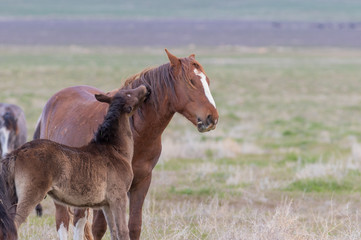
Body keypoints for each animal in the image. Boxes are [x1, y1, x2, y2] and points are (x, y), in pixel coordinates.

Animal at [0, 85, 148, 239]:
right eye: (130, 94)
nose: (144, 88)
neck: (114, 149)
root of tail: (16, 153)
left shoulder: (107, 204)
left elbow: (113, 231)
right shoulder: (119, 197)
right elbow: (123, 231)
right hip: (30, 195)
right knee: (14, 225)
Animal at [34, 48, 219, 238]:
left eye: (207, 80)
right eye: (191, 82)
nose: (212, 118)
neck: (134, 136)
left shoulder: (141, 182)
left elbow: (134, 226)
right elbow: (99, 227)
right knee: (65, 221)